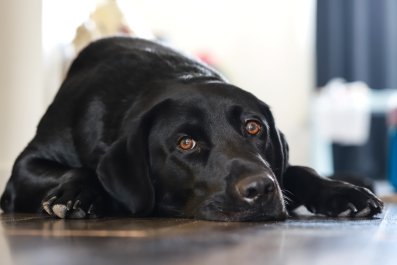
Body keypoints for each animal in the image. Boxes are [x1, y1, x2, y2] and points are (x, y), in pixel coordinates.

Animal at [0, 36, 384, 220]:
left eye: (254, 128)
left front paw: (344, 192)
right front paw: (75, 195)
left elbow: (298, 170)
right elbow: (79, 170)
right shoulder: (22, 170)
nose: (260, 188)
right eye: (186, 143)